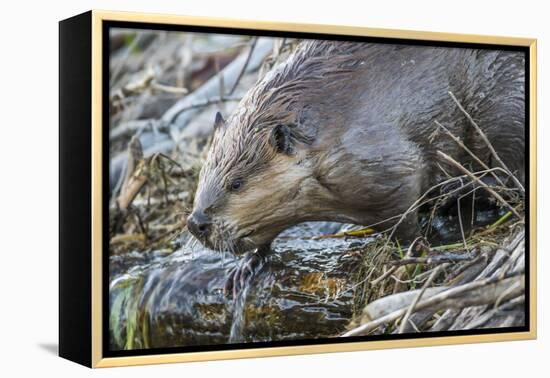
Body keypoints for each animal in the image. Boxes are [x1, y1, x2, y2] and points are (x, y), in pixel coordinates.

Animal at [187, 38, 528, 292]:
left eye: (236, 183)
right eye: (203, 177)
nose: (196, 223)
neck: (326, 126)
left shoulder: (379, 159)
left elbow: (405, 206)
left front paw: (413, 253)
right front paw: (243, 270)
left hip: (503, 106)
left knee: (508, 175)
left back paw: (454, 192)